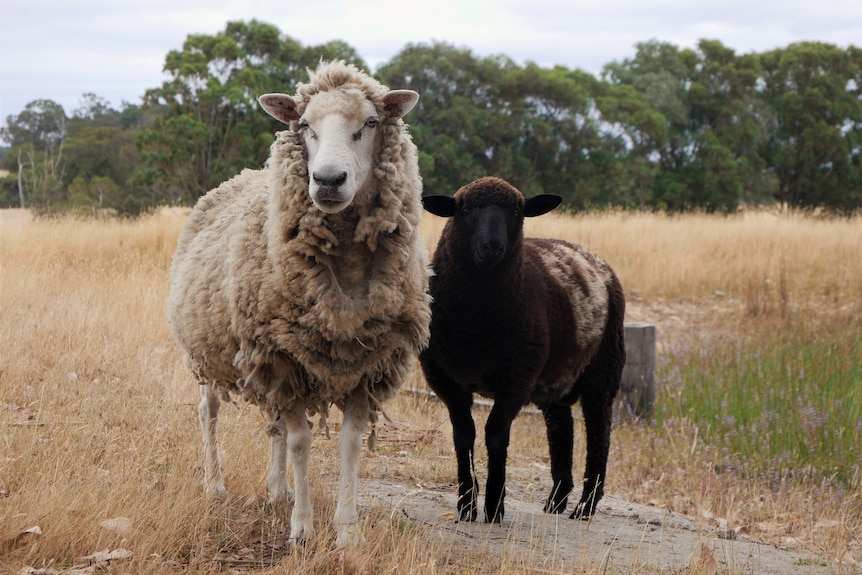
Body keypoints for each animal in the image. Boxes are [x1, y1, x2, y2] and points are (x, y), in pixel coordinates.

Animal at [170, 59, 436, 548]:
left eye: (371, 123)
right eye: (306, 125)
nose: (328, 180)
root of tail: (239, 176)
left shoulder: (366, 365)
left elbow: (348, 444)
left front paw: (347, 532)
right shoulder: (281, 356)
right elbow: (301, 442)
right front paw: (302, 529)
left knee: (272, 423)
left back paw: (278, 488)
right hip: (212, 351)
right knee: (209, 412)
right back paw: (215, 486)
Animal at [422, 178, 624, 524]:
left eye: (516, 212)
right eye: (465, 210)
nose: (492, 246)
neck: (475, 325)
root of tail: (596, 260)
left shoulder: (516, 381)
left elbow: (496, 436)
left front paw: (494, 508)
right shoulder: (445, 378)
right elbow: (463, 434)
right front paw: (466, 506)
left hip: (603, 370)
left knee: (599, 433)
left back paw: (584, 508)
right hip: (554, 377)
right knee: (561, 428)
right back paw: (556, 501)